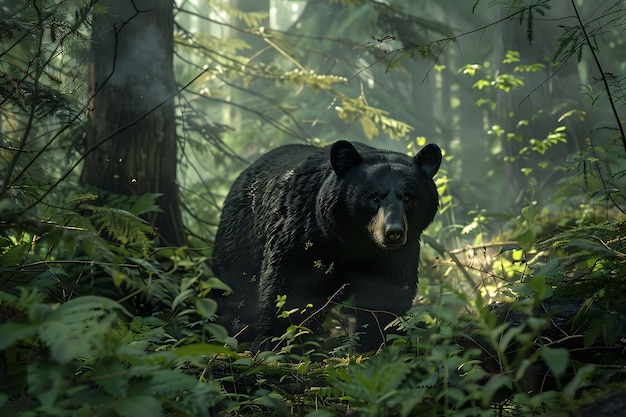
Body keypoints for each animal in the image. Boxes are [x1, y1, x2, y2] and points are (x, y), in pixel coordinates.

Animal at [212, 141, 442, 352]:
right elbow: (288, 288)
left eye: (408, 198)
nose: (393, 232)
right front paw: (272, 344)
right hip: (241, 237)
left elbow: (386, 296)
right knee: (234, 286)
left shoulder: (397, 256)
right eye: (373, 197)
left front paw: (374, 344)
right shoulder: (303, 236)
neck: (356, 244)